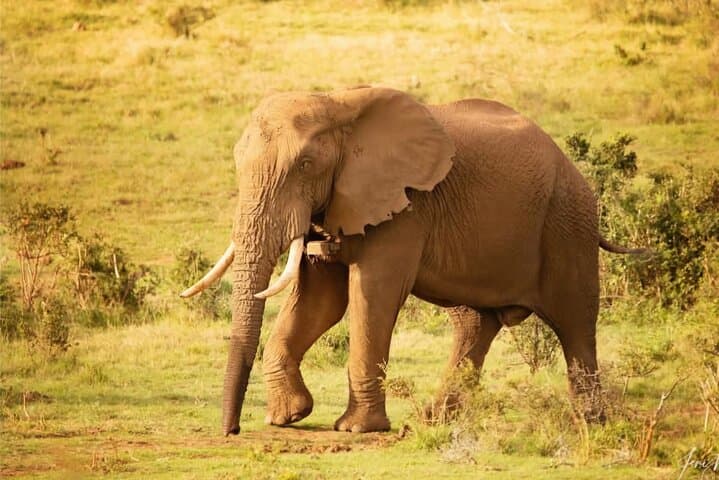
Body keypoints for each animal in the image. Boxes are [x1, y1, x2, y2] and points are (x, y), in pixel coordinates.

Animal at [181, 86, 644, 435]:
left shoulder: (404, 207)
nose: (231, 431)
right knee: (476, 322)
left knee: (575, 321)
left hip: (567, 222)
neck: (338, 105)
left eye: (306, 165)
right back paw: (437, 420)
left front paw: (355, 429)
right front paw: (288, 416)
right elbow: (319, 301)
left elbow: (371, 295)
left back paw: (590, 424)